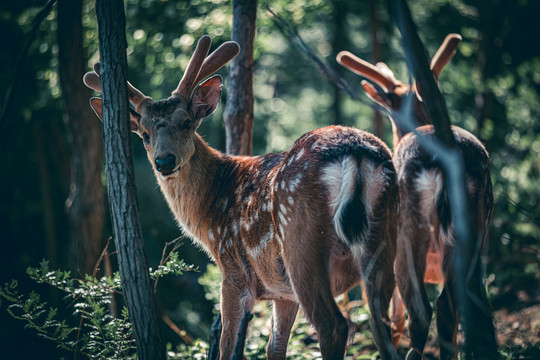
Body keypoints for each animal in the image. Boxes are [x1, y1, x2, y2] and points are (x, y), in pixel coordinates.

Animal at [83, 34, 400, 360]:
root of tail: (355, 153)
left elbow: (226, 346)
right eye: (144, 134)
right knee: (384, 324)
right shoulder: (281, 292)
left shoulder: (234, 270)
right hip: (384, 235)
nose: (164, 161)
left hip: (301, 240)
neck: (210, 207)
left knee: (333, 325)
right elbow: (275, 348)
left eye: (186, 122)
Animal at [338, 32, 498, 358]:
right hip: (477, 231)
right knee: (463, 306)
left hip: (406, 233)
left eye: (389, 110)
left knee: (420, 310)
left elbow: (397, 315)